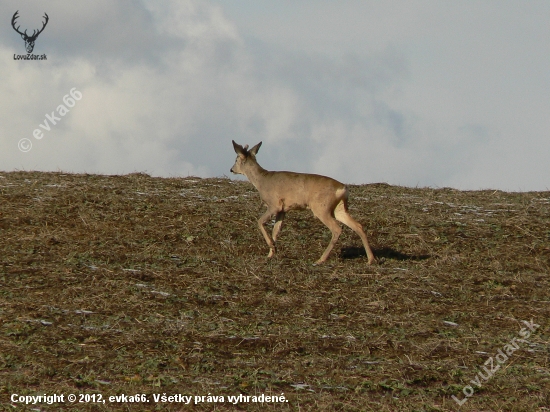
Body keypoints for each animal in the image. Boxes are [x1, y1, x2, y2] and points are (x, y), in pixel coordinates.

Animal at [231, 141, 378, 264]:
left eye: (236, 159)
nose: (231, 169)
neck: (261, 181)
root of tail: (343, 189)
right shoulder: (283, 209)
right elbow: (275, 230)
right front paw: (271, 253)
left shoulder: (274, 205)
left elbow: (260, 222)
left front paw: (272, 247)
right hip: (339, 209)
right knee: (358, 226)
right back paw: (371, 260)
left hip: (321, 207)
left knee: (337, 229)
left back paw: (320, 259)